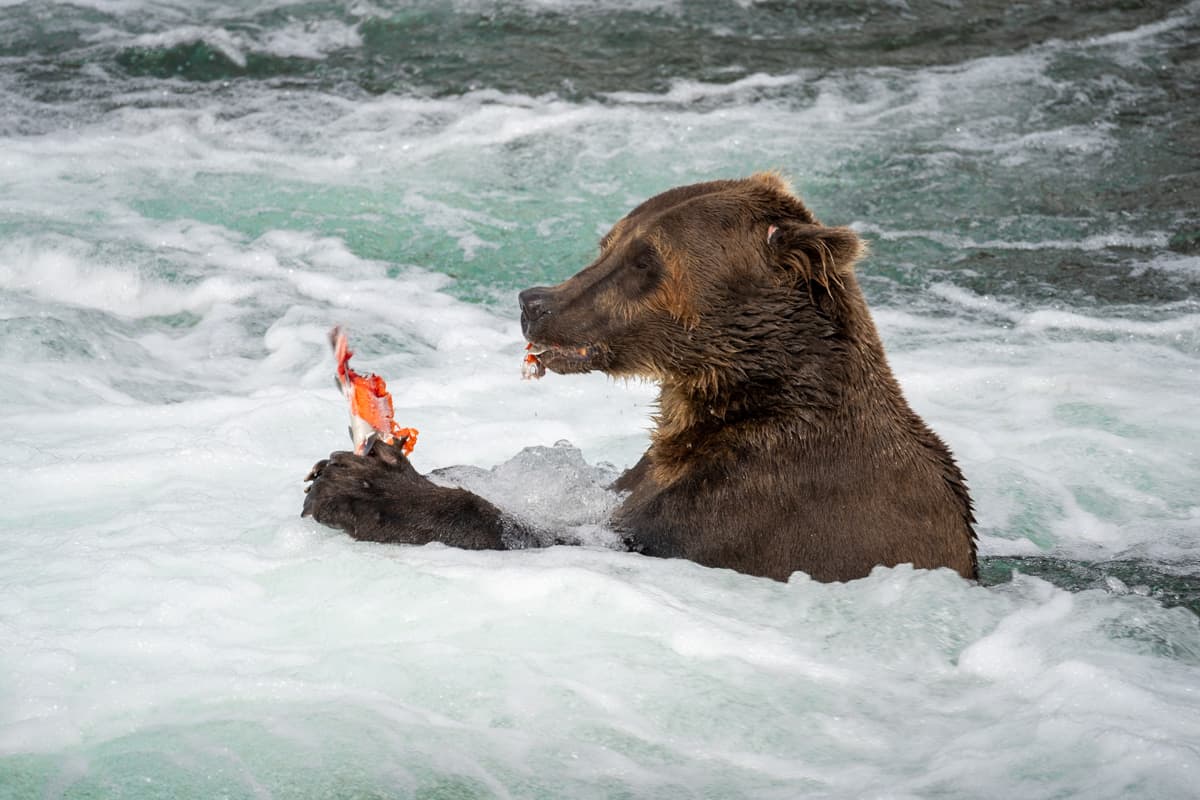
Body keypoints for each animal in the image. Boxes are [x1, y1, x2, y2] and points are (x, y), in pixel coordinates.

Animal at [302, 173, 977, 583]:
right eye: (610, 241)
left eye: (646, 260)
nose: (533, 301)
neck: (744, 395)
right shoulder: (654, 474)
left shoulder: (766, 502)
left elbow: (580, 543)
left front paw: (361, 485)